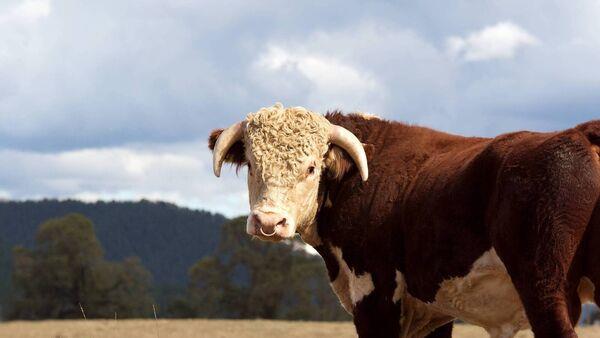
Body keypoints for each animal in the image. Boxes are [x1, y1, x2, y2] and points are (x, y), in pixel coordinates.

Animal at [207, 103, 600, 338]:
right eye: (252, 165)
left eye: (312, 167)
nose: (268, 222)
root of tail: (580, 132)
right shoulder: (431, 312)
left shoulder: (374, 296)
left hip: (545, 290)